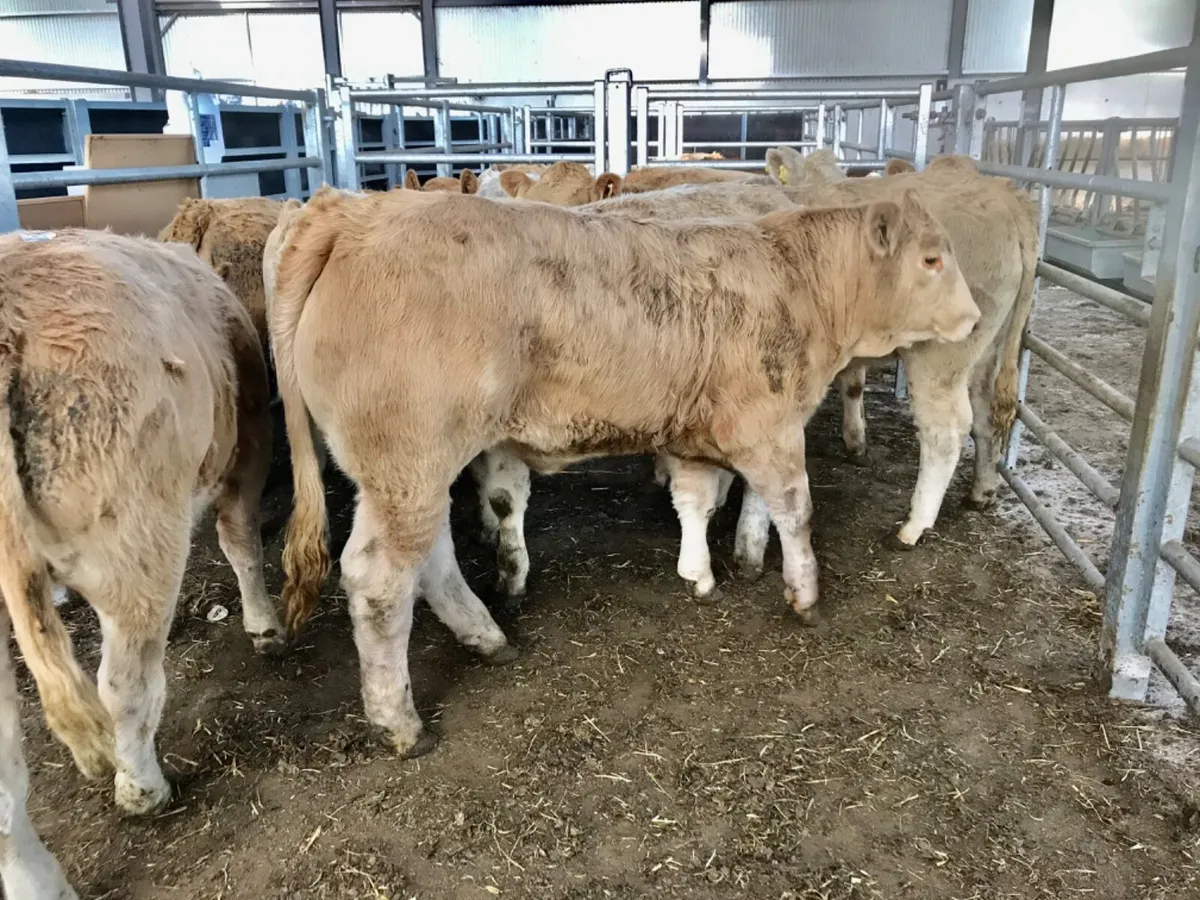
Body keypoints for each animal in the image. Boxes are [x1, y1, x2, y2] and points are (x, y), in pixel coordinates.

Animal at [0, 229, 283, 897]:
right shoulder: (249, 443)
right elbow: (240, 541)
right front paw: (263, 623)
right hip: (134, 541)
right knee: (124, 684)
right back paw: (143, 789)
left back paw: (37, 881)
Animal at [270, 183, 974, 753]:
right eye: (931, 258)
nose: (972, 318)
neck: (796, 279)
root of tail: (355, 212)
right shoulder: (768, 426)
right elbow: (795, 510)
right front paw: (803, 594)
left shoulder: (698, 432)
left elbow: (698, 497)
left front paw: (702, 573)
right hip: (406, 464)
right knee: (379, 580)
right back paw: (400, 723)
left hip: (414, 470)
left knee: (432, 559)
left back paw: (488, 637)